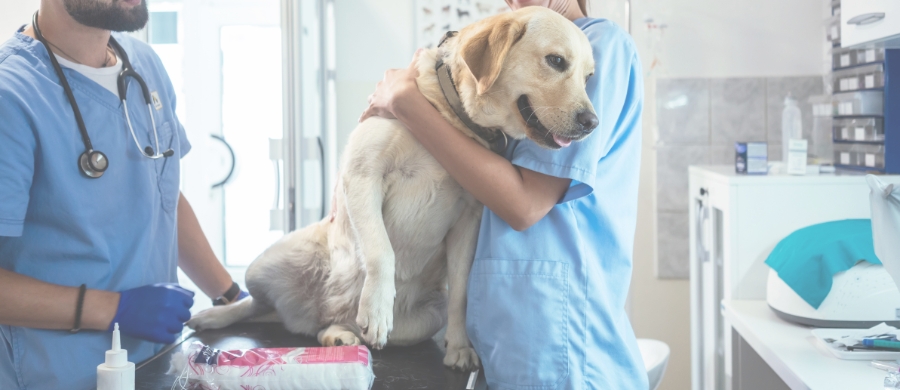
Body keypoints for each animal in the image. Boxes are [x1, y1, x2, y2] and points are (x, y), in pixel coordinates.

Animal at [187, 7, 596, 370]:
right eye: (556, 61)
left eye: (589, 77)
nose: (592, 122)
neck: (451, 118)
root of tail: (312, 314)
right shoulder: (363, 175)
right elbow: (381, 251)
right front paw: (377, 306)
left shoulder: (470, 217)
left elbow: (462, 292)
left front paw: (460, 347)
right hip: (263, 264)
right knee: (255, 303)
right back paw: (212, 316)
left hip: (425, 317)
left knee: (320, 324)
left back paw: (337, 333)